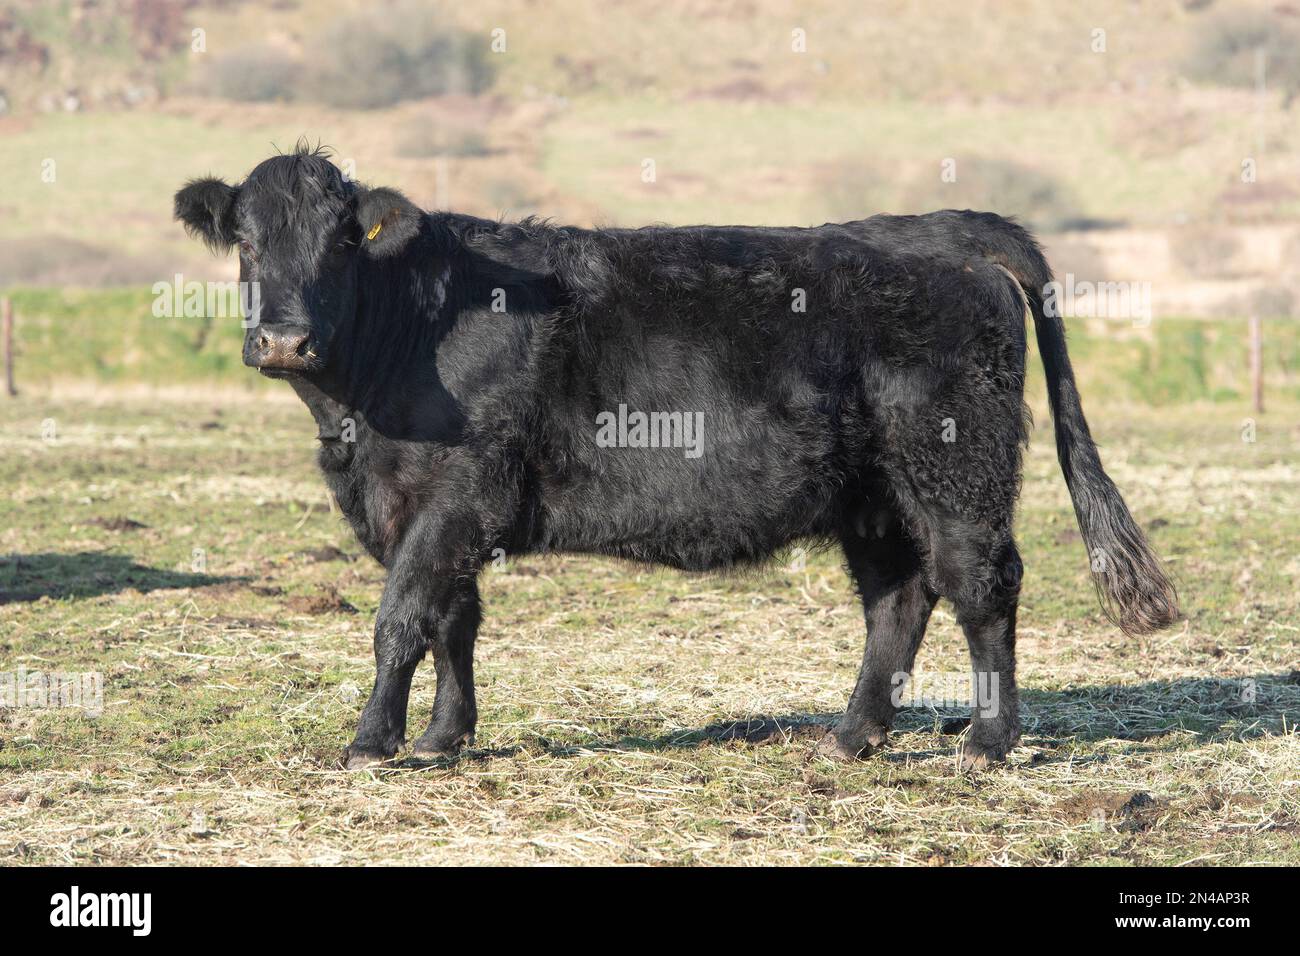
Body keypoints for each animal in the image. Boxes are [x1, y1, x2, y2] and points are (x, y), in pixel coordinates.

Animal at [172, 147, 1180, 770]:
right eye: (248, 241)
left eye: (343, 241)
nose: (286, 341)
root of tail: (933, 229)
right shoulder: (427, 510)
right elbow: (453, 623)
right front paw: (443, 738)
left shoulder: (454, 496)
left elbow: (401, 621)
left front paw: (372, 741)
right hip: (874, 495)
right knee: (899, 598)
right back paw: (852, 734)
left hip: (956, 470)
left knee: (982, 584)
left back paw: (986, 741)